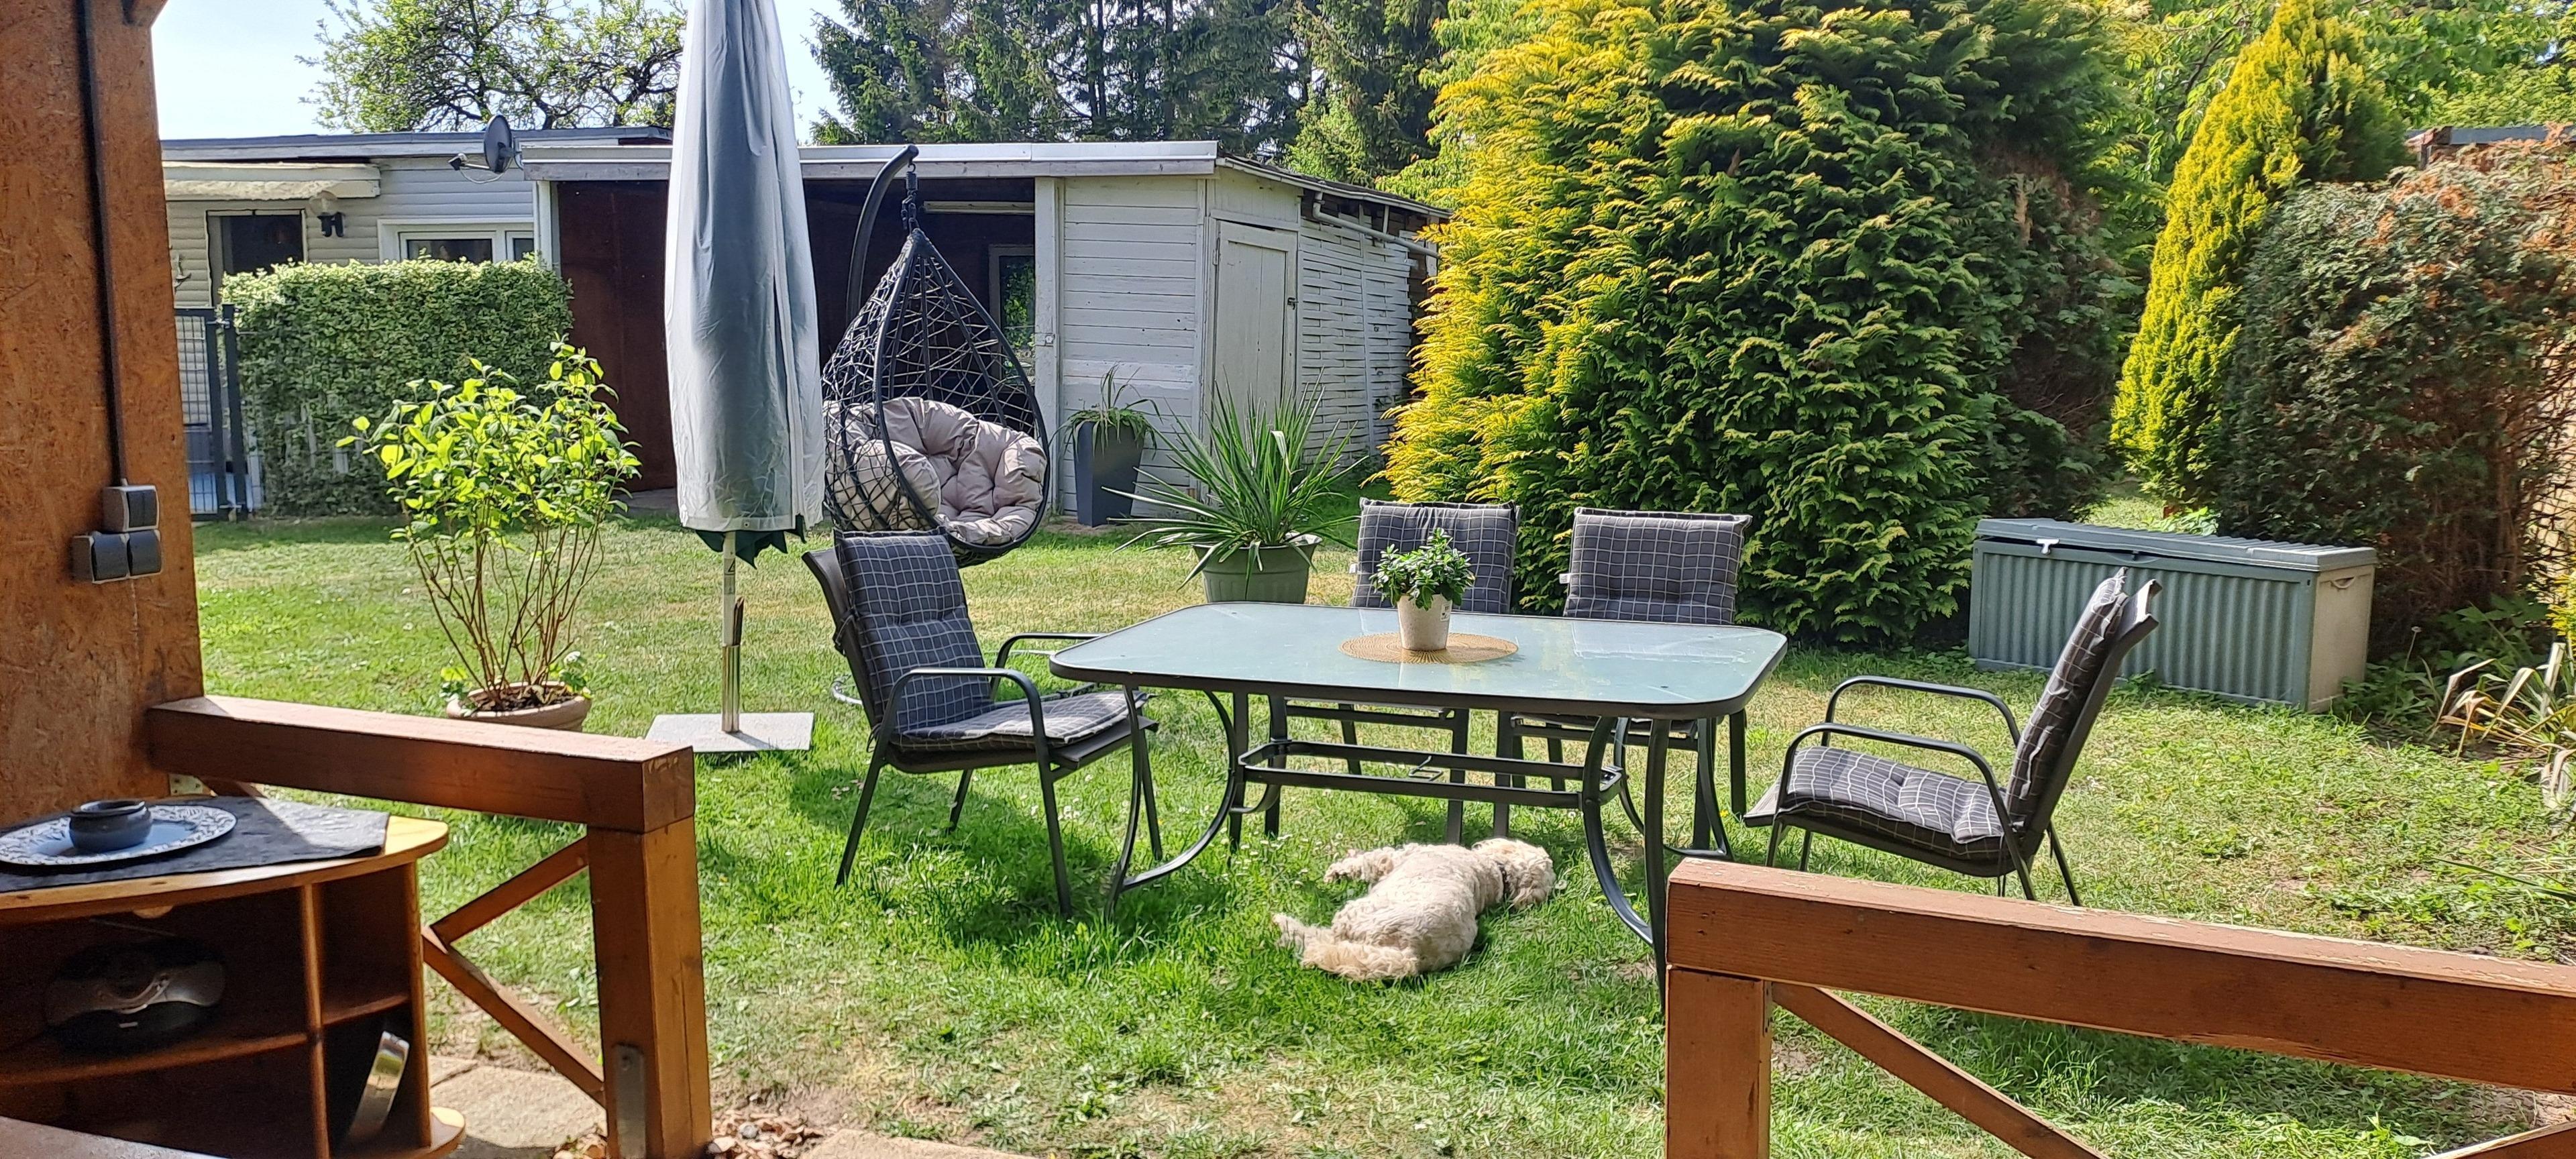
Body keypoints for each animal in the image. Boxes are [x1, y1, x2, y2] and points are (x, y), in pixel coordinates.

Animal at [1272, 838, 1556, 981]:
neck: (1495, 872)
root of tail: (1413, 955)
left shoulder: (1389, 860)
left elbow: (1366, 861)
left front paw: (1337, 872)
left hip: (1356, 914)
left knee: (1321, 940)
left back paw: (1286, 926)